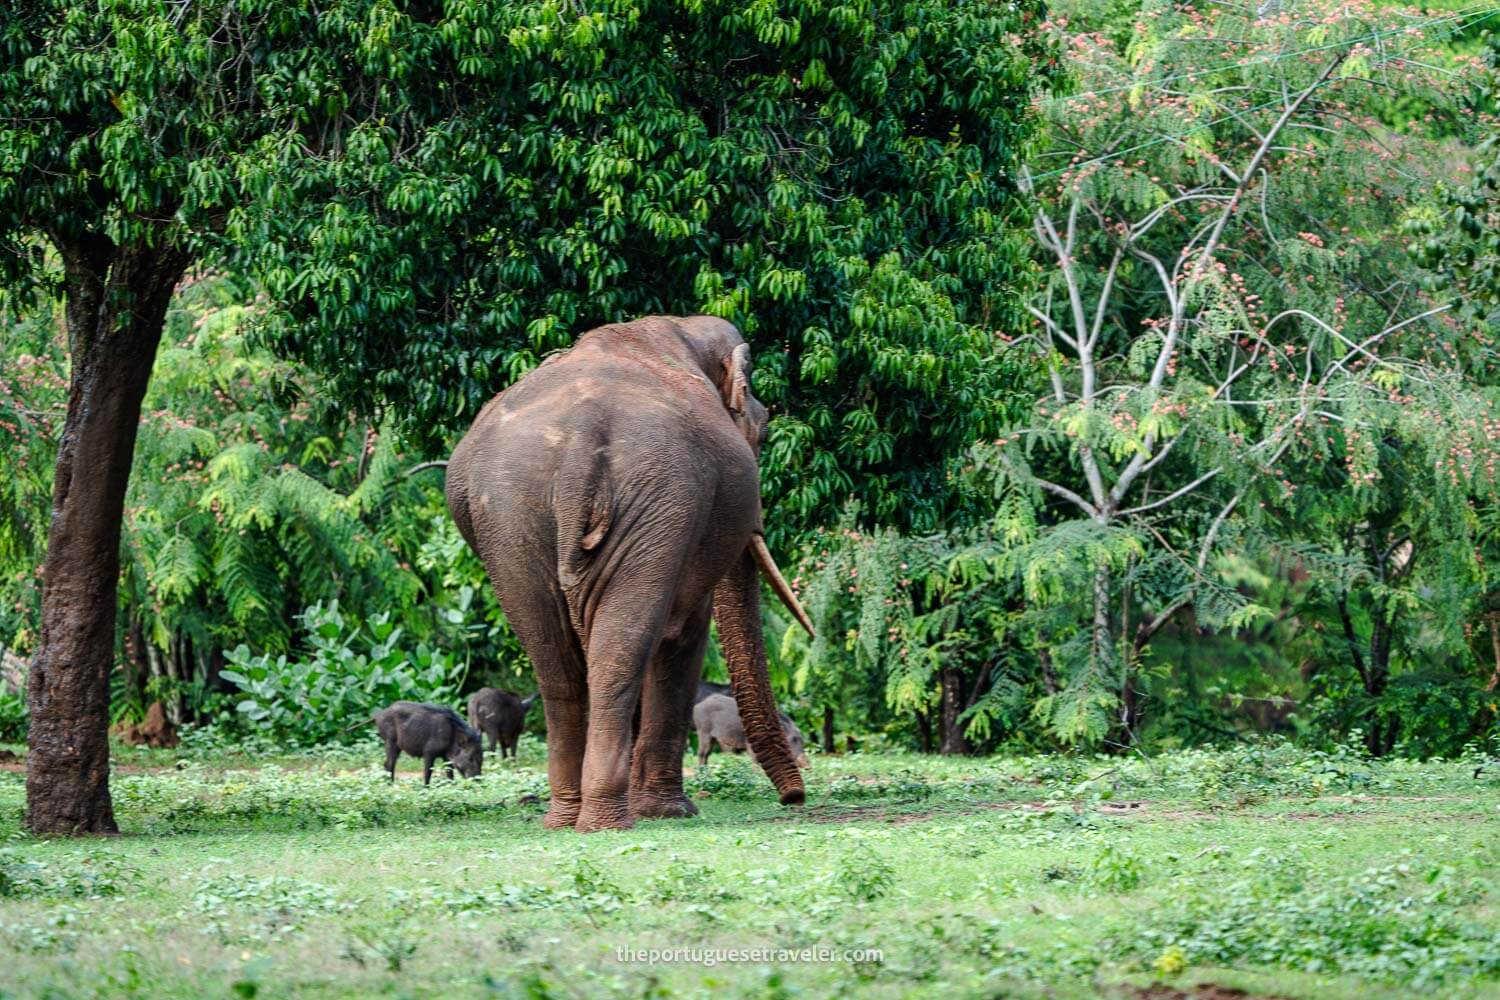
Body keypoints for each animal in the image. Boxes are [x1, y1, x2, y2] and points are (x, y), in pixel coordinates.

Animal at [444, 316, 816, 833]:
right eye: (761, 433)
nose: (794, 798)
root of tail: (579, 445)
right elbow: (685, 633)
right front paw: (671, 812)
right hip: (654, 503)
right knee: (626, 650)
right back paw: (610, 820)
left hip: (511, 519)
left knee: (558, 663)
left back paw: (567, 818)